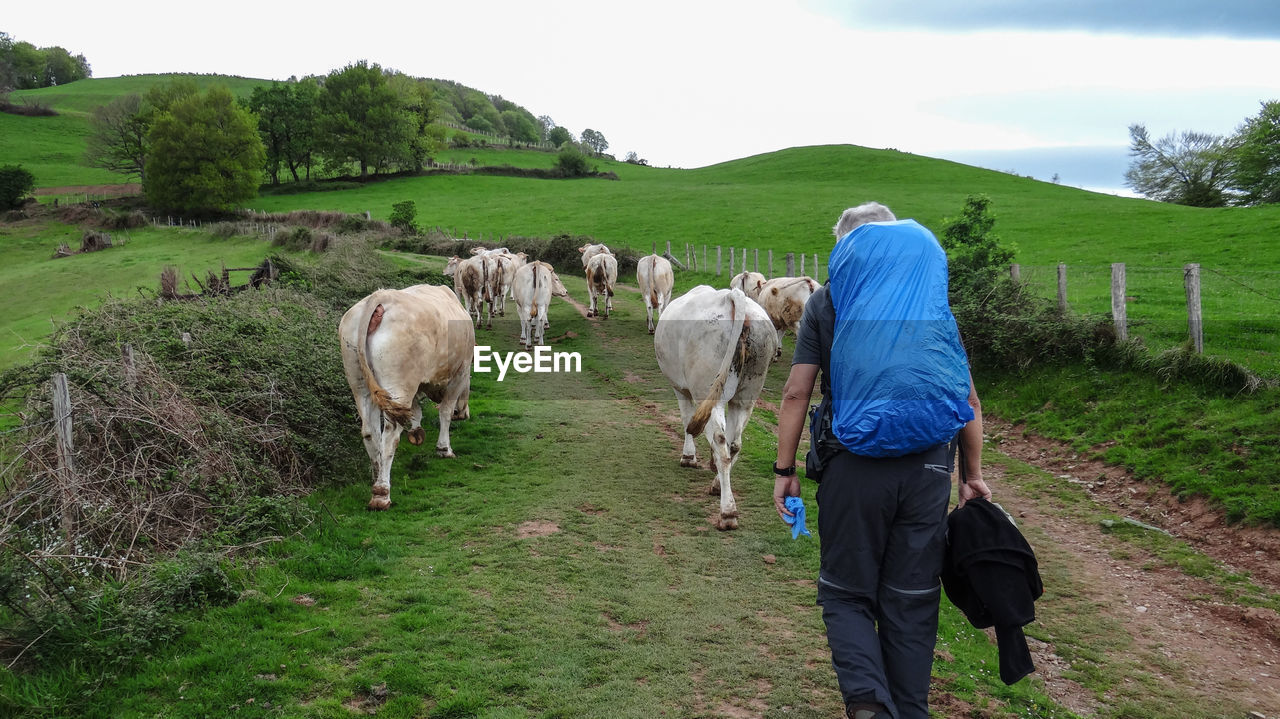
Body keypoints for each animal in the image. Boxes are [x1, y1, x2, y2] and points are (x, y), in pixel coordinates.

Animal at [340, 282, 476, 506]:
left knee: (370, 431)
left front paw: (416, 431)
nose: (463, 413)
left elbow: (415, 410)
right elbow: (445, 412)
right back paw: (382, 493)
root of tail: (381, 296)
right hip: (399, 385)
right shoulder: (460, 372)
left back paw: (378, 475)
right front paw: (444, 449)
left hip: (359, 382)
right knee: (390, 434)